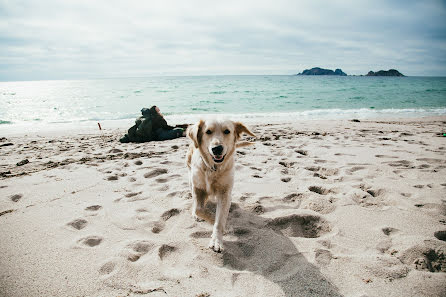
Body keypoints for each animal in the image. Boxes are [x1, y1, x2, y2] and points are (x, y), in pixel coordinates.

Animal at [186, 119, 254, 251]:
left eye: (227, 131)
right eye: (208, 131)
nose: (217, 148)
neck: (213, 168)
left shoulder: (224, 192)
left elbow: (220, 220)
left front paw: (217, 239)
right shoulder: (198, 187)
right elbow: (199, 209)